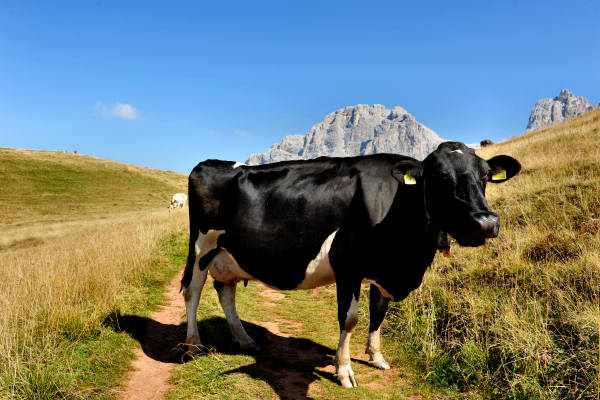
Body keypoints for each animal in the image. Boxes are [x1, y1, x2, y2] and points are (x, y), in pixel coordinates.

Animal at [179, 141, 520, 388]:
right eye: (438, 177)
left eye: (485, 175)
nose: (486, 222)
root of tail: (210, 163)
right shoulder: (348, 267)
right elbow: (350, 319)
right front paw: (344, 371)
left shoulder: (383, 270)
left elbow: (379, 312)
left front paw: (377, 357)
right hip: (201, 246)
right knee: (192, 291)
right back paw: (194, 345)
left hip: (227, 256)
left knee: (226, 293)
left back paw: (245, 340)